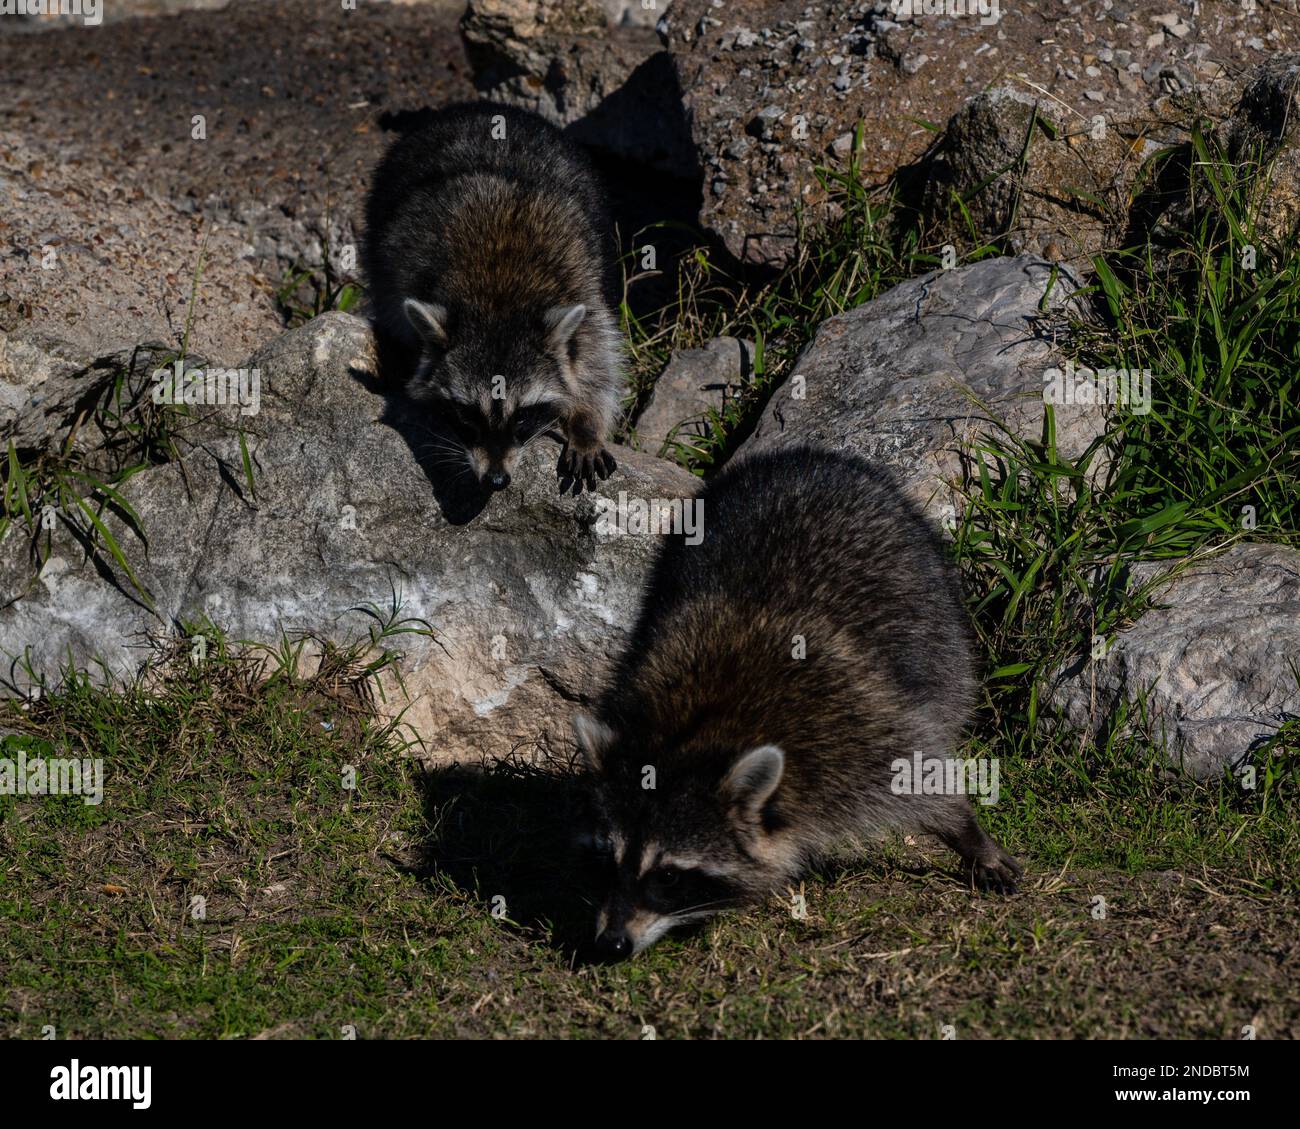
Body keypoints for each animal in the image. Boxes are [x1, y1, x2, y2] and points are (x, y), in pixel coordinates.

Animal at [363, 102, 621, 493]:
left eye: (522, 418)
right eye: (468, 417)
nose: (496, 480)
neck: (499, 300)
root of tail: (485, 107)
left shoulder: (582, 287)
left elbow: (597, 363)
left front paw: (586, 423)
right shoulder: (405, 276)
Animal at [574, 443, 1020, 960]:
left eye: (668, 876)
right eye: (608, 861)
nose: (610, 944)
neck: (694, 730)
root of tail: (803, 455)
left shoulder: (855, 727)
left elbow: (918, 775)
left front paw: (968, 835)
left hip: (934, 599)